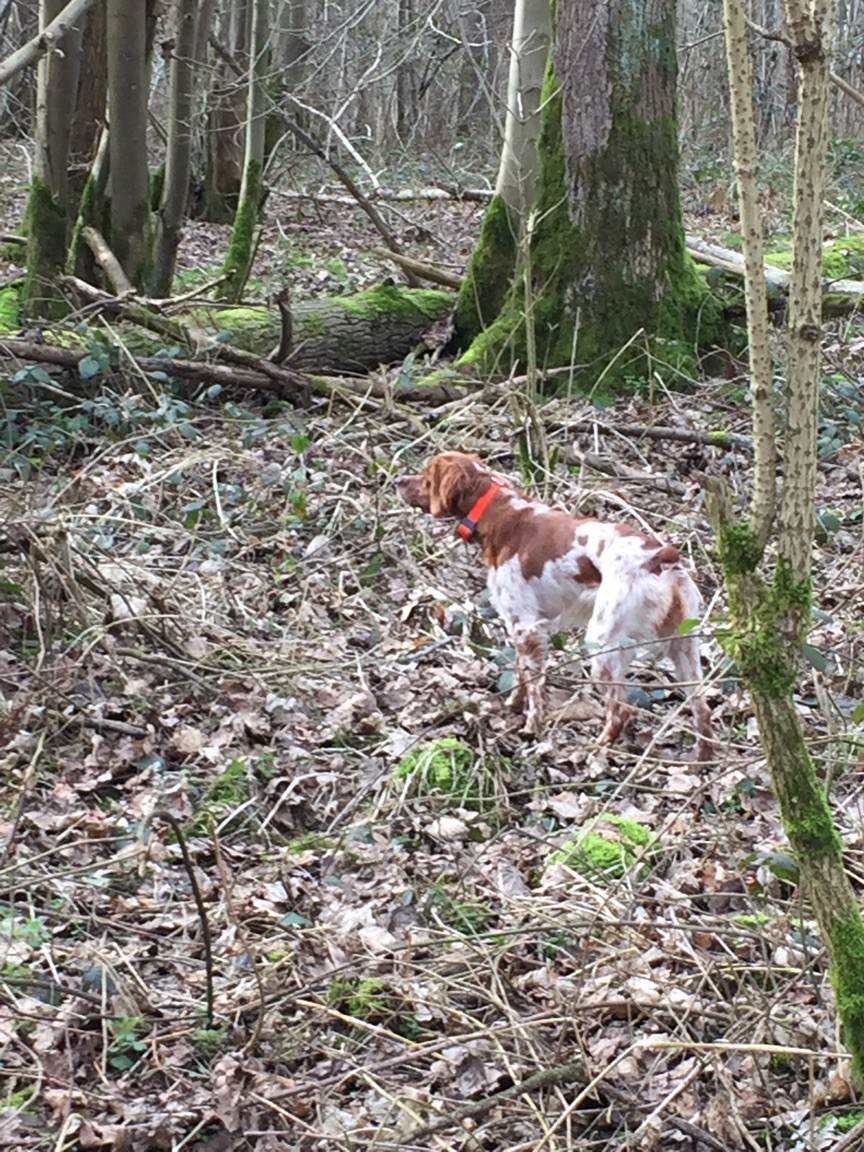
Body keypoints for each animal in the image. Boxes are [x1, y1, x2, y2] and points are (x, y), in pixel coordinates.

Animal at [396, 453, 714, 760]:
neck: (501, 512)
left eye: (427, 475)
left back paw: (594, 751)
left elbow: (536, 685)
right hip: (683, 645)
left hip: (601, 643)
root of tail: (661, 557)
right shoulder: (525, 624)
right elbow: (521, 670)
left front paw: (531, 728)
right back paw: (700, 761)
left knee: (619, 711)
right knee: (702, 707)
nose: (398, 480)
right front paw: (514, 704)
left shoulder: (525, 624)